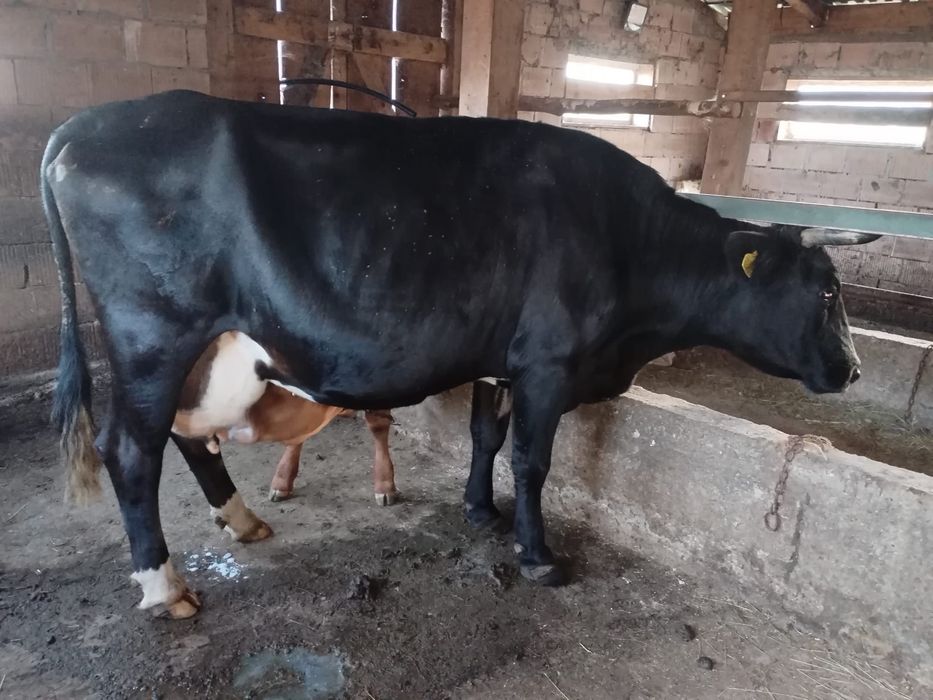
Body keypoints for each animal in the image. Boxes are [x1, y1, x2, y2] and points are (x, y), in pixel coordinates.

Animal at [44, 90, 877, 619]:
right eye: (827, 291)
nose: (854, 369)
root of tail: (85, 124)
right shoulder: (548, 361)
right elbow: (532, 459)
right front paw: (537, 556)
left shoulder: (497, 355)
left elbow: (485, 434)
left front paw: (478, 510)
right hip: (152, 333)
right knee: (133, 449)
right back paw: (165, 588)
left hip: (206, 351)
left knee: (189, 436)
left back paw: (242, 522)